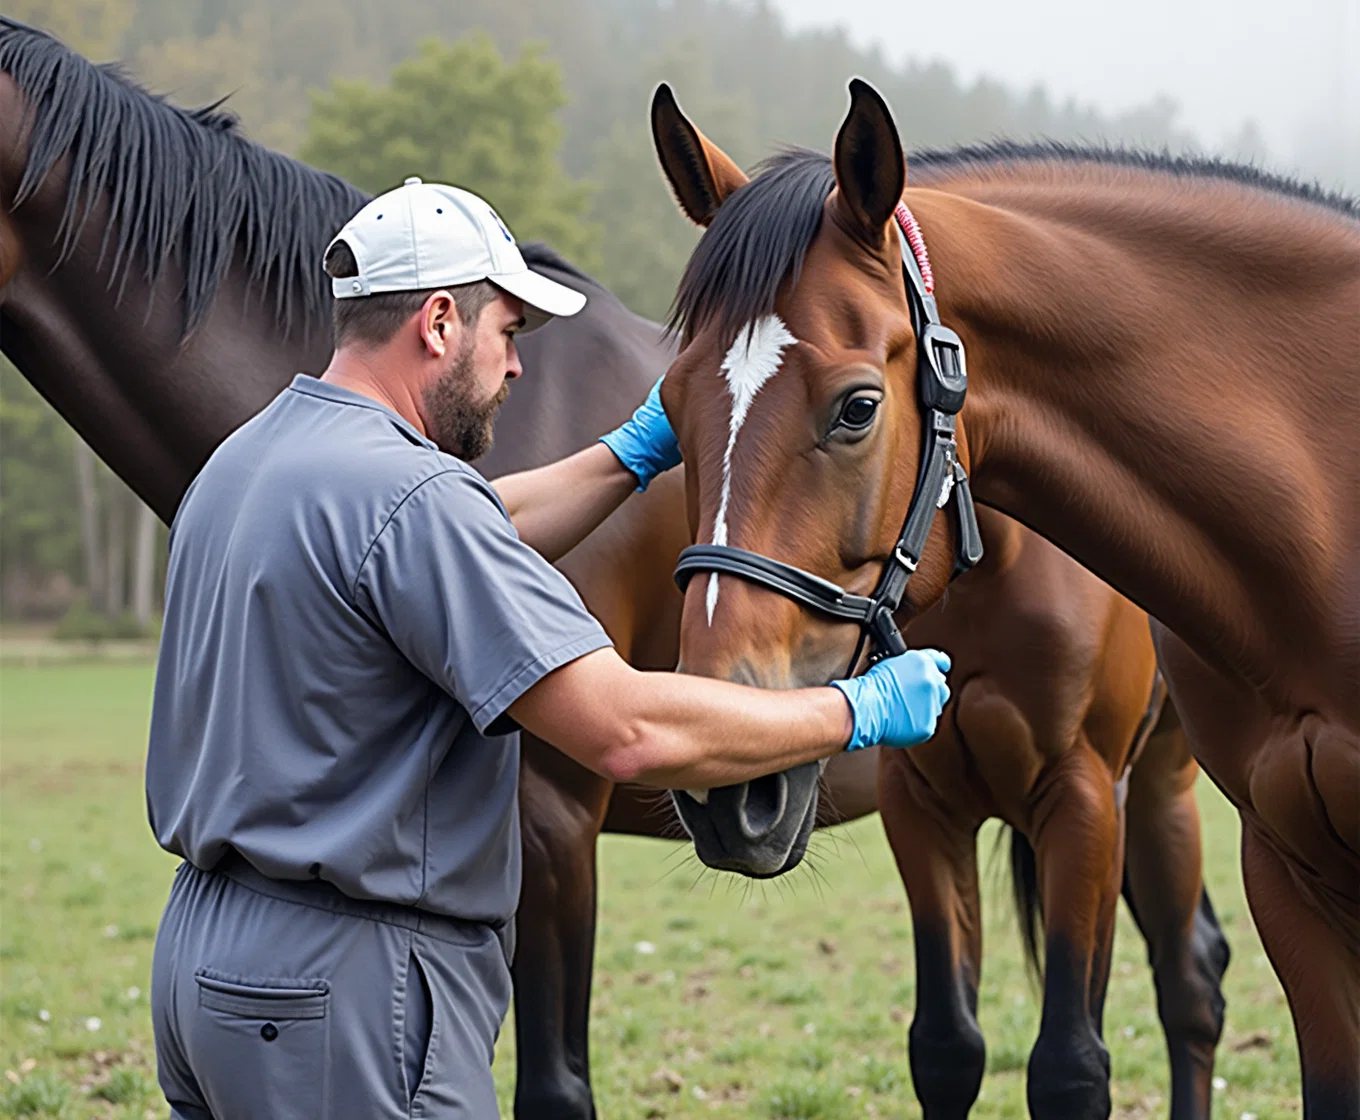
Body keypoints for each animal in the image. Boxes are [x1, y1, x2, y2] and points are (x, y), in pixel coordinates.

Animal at [647, 80, 1360, 1120]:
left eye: (857, 408)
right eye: (669, 405)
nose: (723, 789)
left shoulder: (1087, 797)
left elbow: (1070, 1064)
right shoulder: (921, 802)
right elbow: (947, 1047)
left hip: (1162, 788)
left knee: (1191, 983)